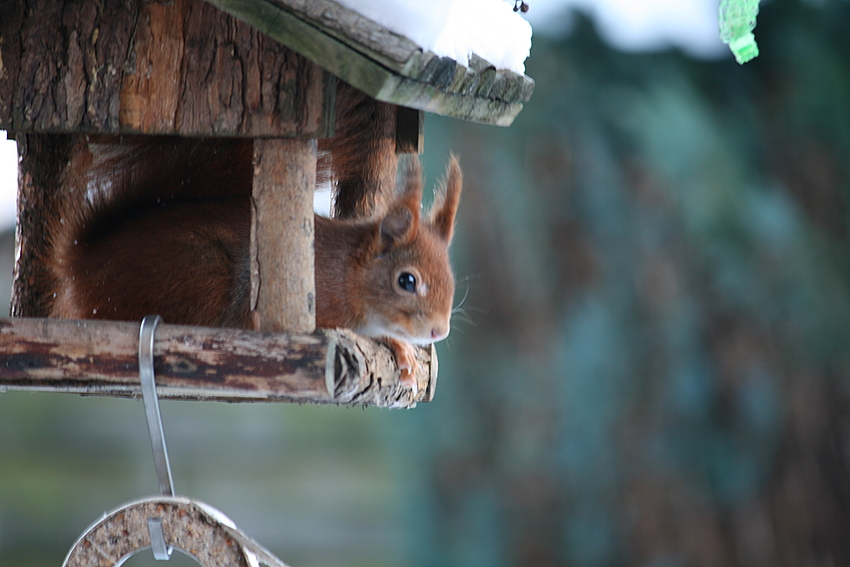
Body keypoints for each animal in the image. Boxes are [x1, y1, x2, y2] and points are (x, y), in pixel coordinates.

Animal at [43, 135, 460, 380]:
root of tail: (81, 264)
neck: (348, 273)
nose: (440, 332)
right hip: (201, 273)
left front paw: (402, 348)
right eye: (407, 281)